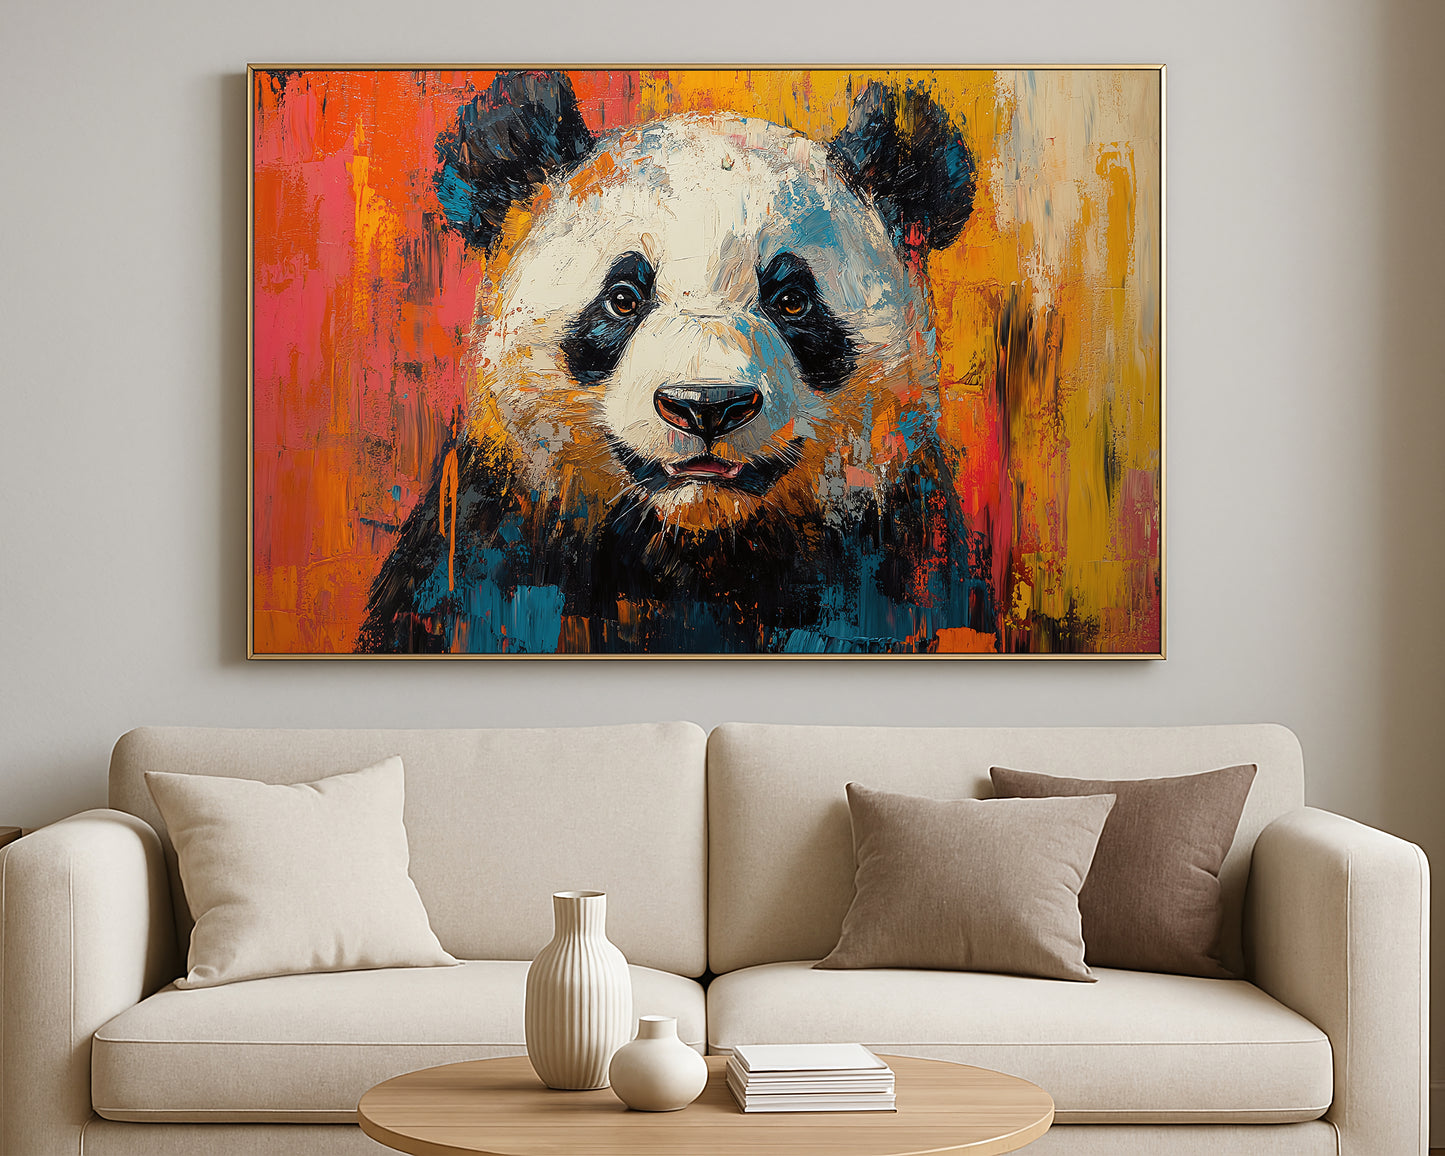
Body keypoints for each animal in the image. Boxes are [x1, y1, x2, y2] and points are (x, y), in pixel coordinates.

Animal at [358, 71, 994, 655]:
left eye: (792, 299)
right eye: (623, 297)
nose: (706, 405)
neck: (695, 551)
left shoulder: (894, 551)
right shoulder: (494, 539)